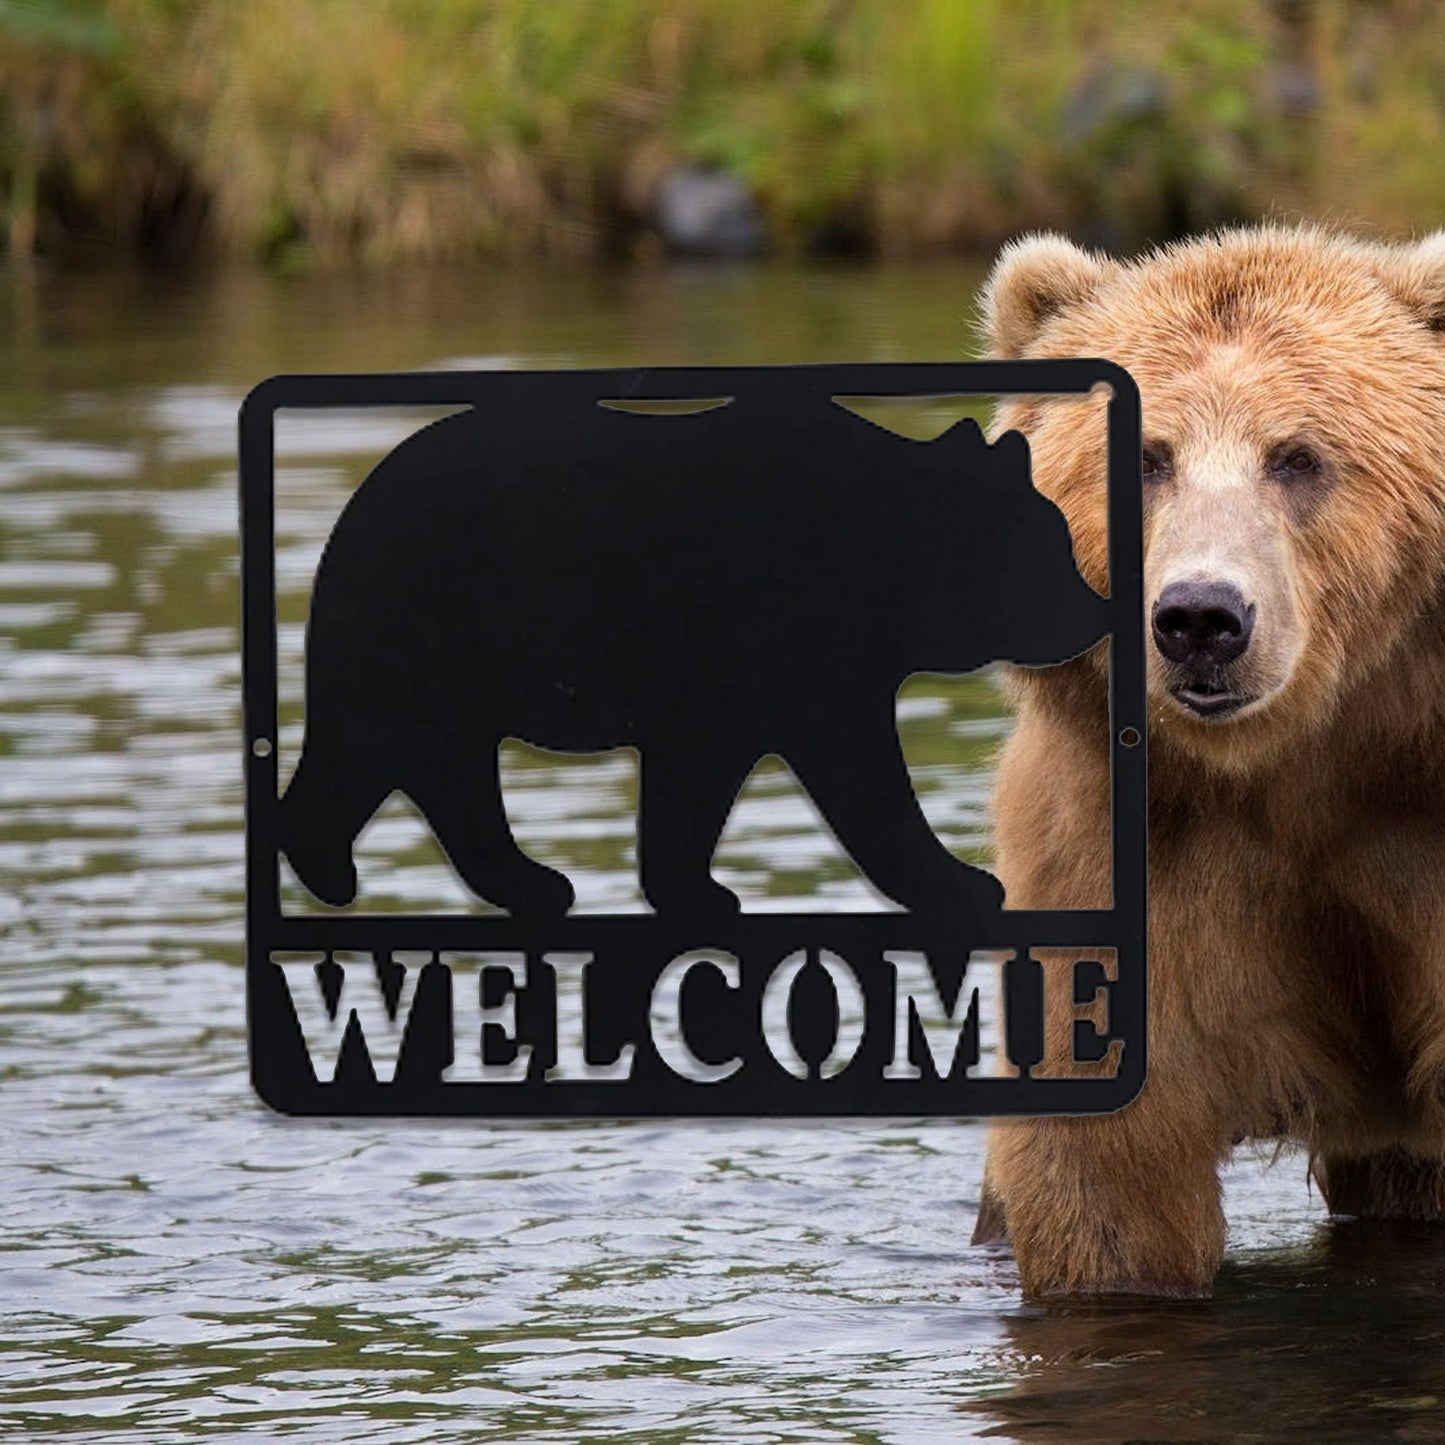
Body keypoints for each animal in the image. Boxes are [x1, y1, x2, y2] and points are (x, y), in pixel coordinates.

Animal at [280, 396, 1107, 918]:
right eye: (1050, 547)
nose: (1096, 610)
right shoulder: (775, 634)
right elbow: (854, 774)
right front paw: (964, 881)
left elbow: (708, 777)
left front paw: (694, 887)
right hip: (423, 628)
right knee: (395, 751)